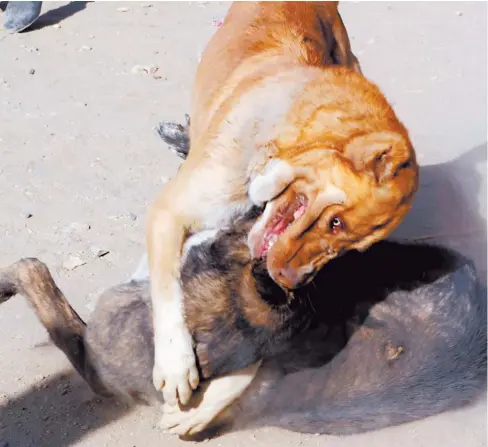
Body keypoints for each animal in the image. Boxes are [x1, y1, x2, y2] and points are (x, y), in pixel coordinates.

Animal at [147, 0, 418, 406]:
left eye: (353, 249)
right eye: (335, 223)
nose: (291, 283)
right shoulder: (168, 214)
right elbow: (167, 292)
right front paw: (175, 363)